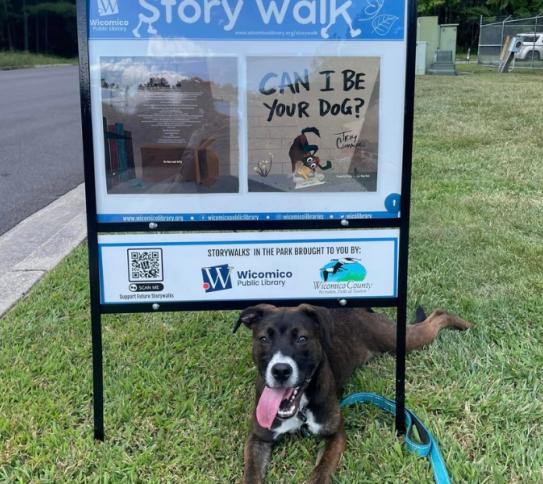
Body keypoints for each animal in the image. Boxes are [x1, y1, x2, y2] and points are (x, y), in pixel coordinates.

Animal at [234, 304, 472, 482]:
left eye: (302, 339)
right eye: (264, 339)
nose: (281, 370)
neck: (300, 407)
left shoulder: (335, 434)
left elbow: (320, 472)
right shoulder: (257, 438)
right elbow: (251, 475)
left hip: (399, 338)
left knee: (438, 316)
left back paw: (467, 325)